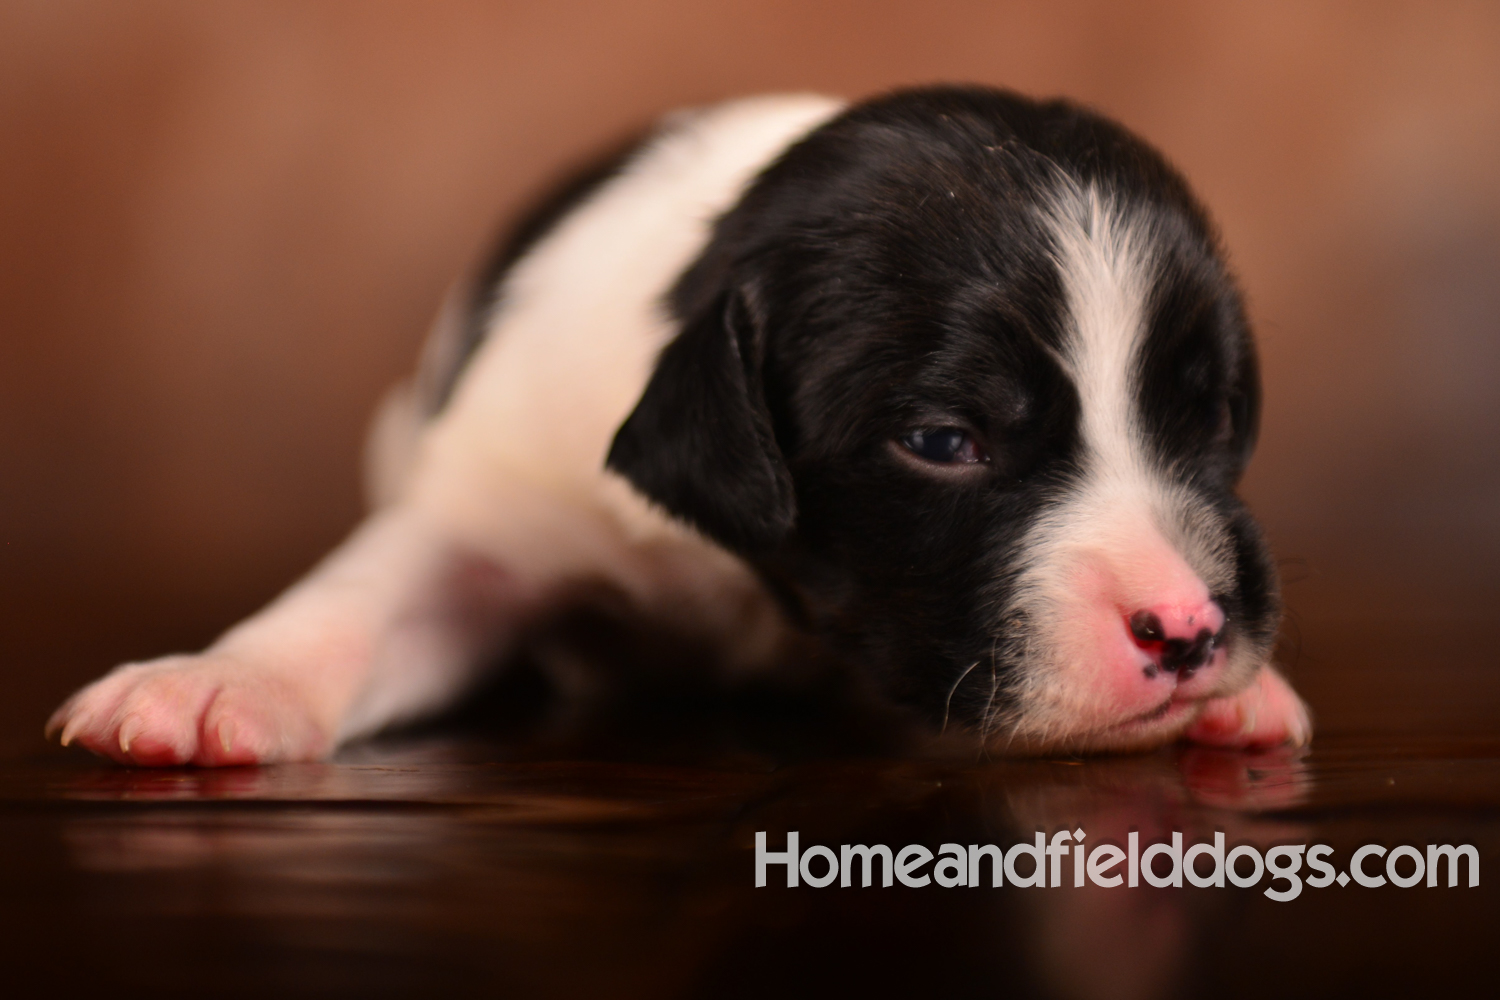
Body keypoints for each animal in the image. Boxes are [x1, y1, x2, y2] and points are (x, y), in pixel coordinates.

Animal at [46, 86, 1314, 767]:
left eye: (1212, 410)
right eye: (945, 442)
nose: (1189, 628)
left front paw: (1241, 695)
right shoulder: (488, 510)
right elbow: (353, 604)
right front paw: (216, 682)